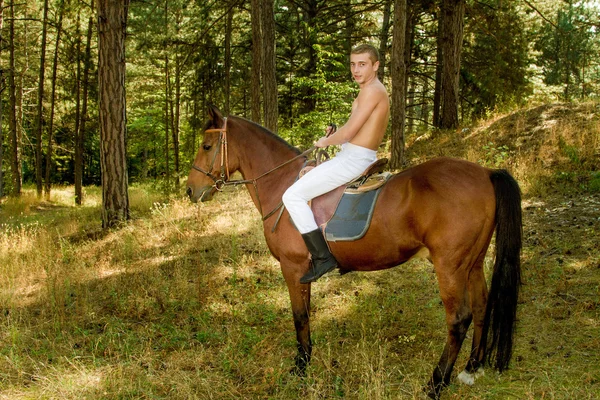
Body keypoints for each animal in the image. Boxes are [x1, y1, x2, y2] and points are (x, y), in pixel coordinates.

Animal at [186, 104, 520, 398]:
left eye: (206, 145)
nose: (190, 190)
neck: (281, 184)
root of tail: (485, 173)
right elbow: (306, 314)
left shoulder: (293, 268)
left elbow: (299, 317)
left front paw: (300, 367)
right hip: (472, 263)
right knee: (481, 306)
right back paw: (472, 367)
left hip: (450, 266)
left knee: (459, 318)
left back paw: (436, 383)